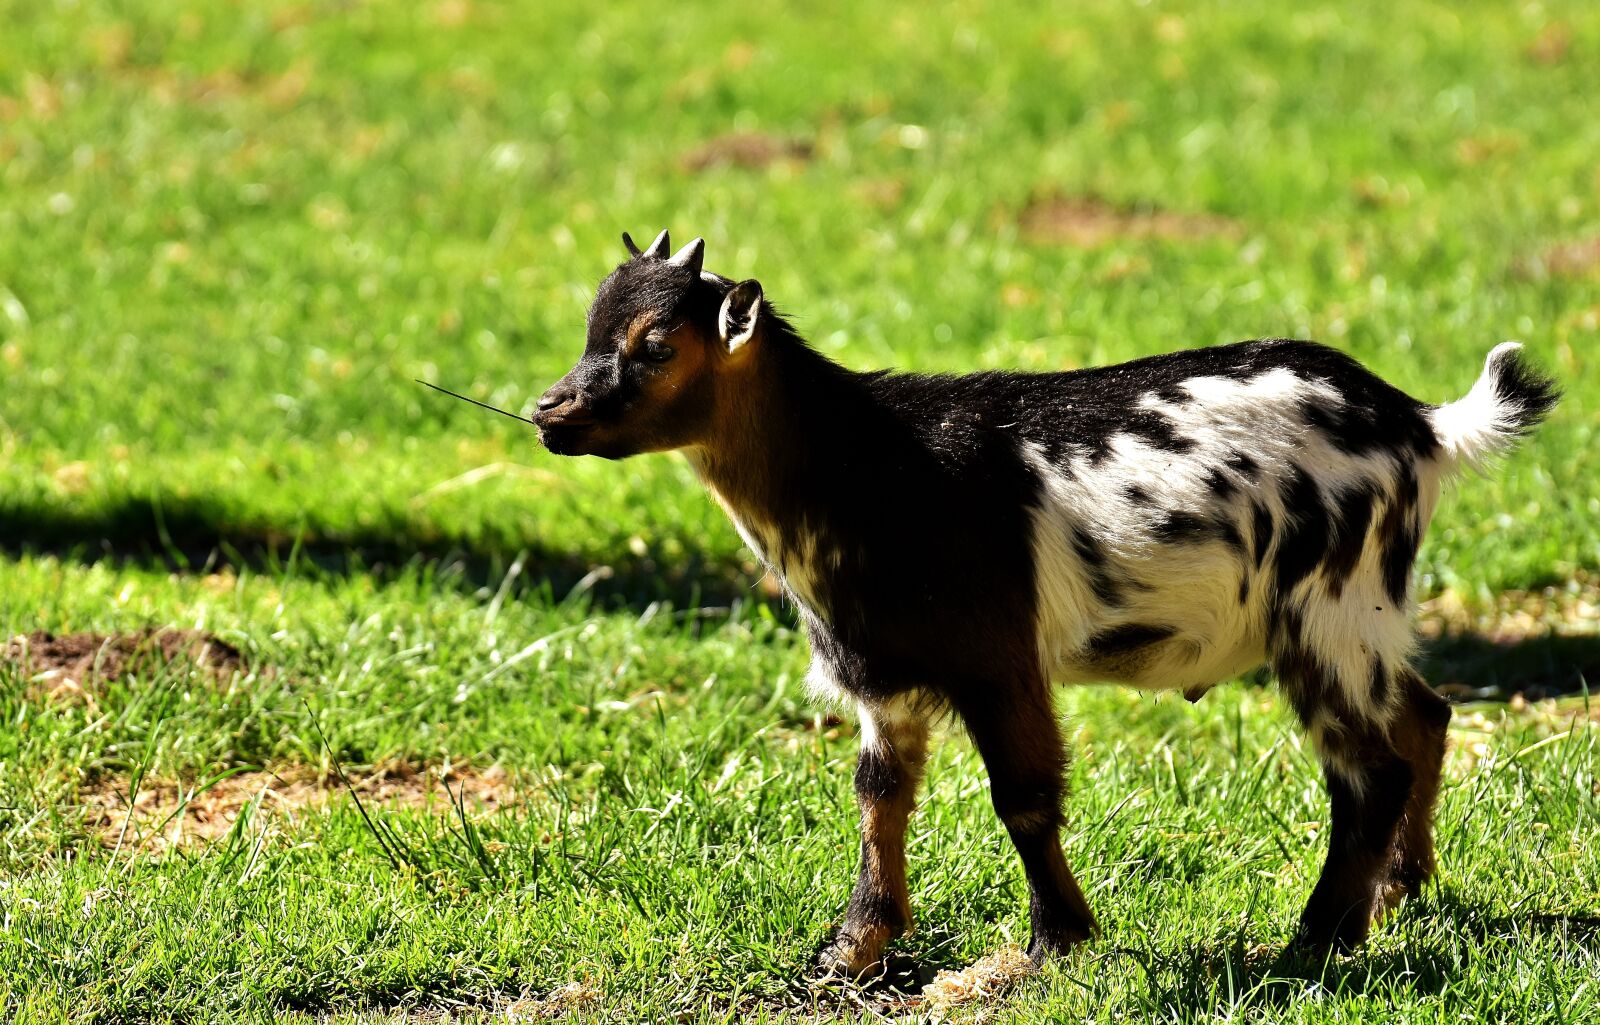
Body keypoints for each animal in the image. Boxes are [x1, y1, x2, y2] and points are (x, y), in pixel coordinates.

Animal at [533, 230, 1559, 971]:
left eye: (655, 344)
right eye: (589, 328)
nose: (550, 412)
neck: (868, 467)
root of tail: (1420, 425)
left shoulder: (996, 655)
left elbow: (1023, 795)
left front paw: (1055, 944)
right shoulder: (884, 679)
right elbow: (880, 798)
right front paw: (849, 953)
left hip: (1326, 609)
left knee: (1368, 768)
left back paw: (1315, 940)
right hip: (1366, 618)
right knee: (1423, 715)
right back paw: (1398, 892)